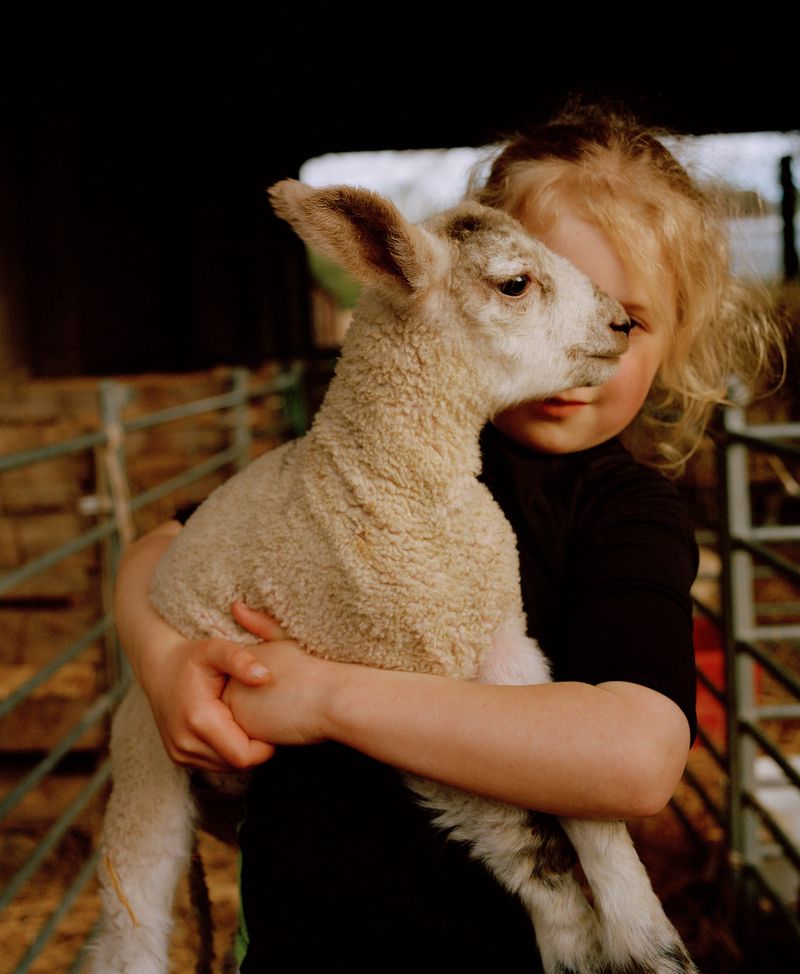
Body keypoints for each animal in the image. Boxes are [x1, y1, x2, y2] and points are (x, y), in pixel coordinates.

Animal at [89, 179, 698, 974]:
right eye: (515, 283)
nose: (622, 324)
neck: (384, 482)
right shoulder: (402, 673)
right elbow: (529, 848)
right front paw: (580, 946)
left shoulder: (502, 641)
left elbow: (589, 808)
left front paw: (648, 940)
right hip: (144, 761)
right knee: (127, 926)